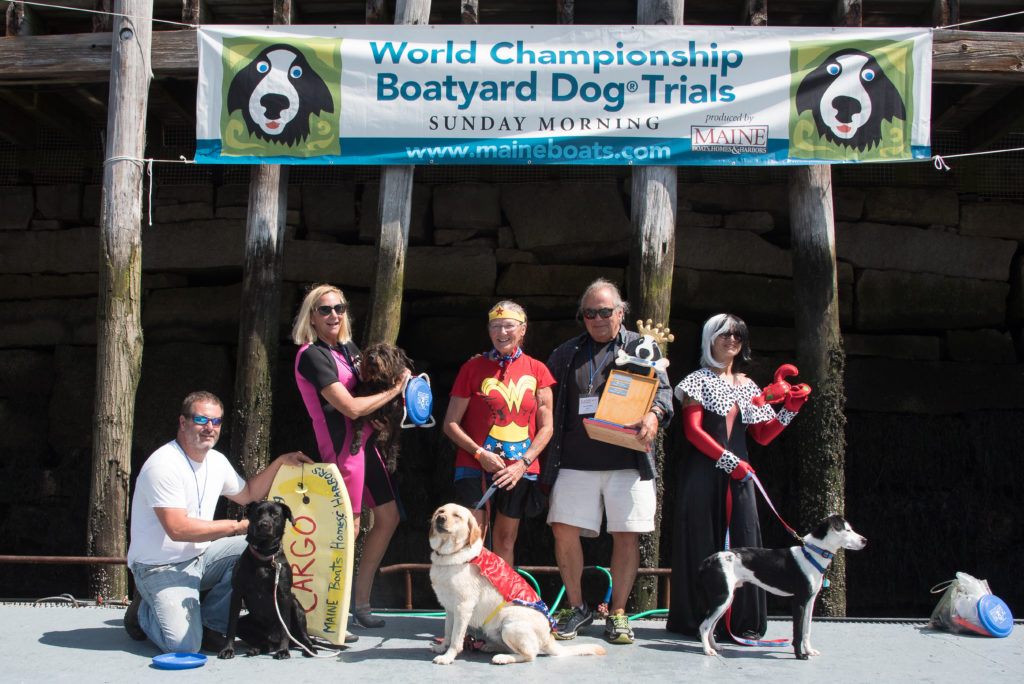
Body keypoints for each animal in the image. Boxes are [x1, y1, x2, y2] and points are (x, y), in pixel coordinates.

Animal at [214, 499, 313, 659]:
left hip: (296, 606)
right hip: (245, 625)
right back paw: (257, 648)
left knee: (304, 637)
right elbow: (231, 625)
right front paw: (228, 649)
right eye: (257, 513)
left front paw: (283, 651)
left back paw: (308, 649)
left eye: (275, 514)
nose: (263, 524)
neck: (264, 555)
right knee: (266, 642)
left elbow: (284, 627)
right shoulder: (237, 593)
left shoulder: (284, 595)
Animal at [348, 342, 411, 471]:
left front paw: (391, 462)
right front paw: (355, 446)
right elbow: (358, 429)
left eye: (383, 352)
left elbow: (393, 444)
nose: (371, 357)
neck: (381, 383)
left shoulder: (397, 422)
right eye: (370, 351)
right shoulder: (363, 408)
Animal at [425, 499, 602, 663]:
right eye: (441, 511)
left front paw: (448, 657)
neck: (449, 555)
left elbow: (456, 638)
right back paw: (491, 647)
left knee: (530, 654)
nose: (440, 518)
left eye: (457, 516)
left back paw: (502, 657)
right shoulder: (449, 607)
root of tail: (548, 637)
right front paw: (442, 647)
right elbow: (448, 632)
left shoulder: (463, 607)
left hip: (509, 622)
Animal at [696, 516, 864, 659]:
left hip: (726, 600)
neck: (811, 556)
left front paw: (809, 651)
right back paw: (707, 650)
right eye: (847, 530)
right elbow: (798, 632)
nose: (865, 540)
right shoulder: (799, 601)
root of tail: (709, 561)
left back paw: (715, 647)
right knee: (704, 626)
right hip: (722, 598)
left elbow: (807, 630)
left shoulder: (810, 601)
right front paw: (800, 655)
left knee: (711, 626)